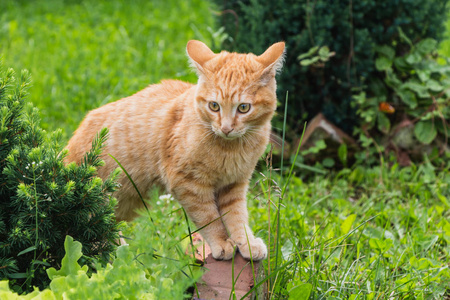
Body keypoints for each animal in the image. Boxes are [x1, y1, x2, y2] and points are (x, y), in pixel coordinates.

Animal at [66, 40, 284, 260]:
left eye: (243, 108)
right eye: (214, 106)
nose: (226, 128)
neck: (231, 149)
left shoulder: (234, 185)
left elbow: (237, 217)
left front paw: (247, 242)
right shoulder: (188, 184)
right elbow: (210, 218)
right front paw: (222, 242)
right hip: (97, 207)